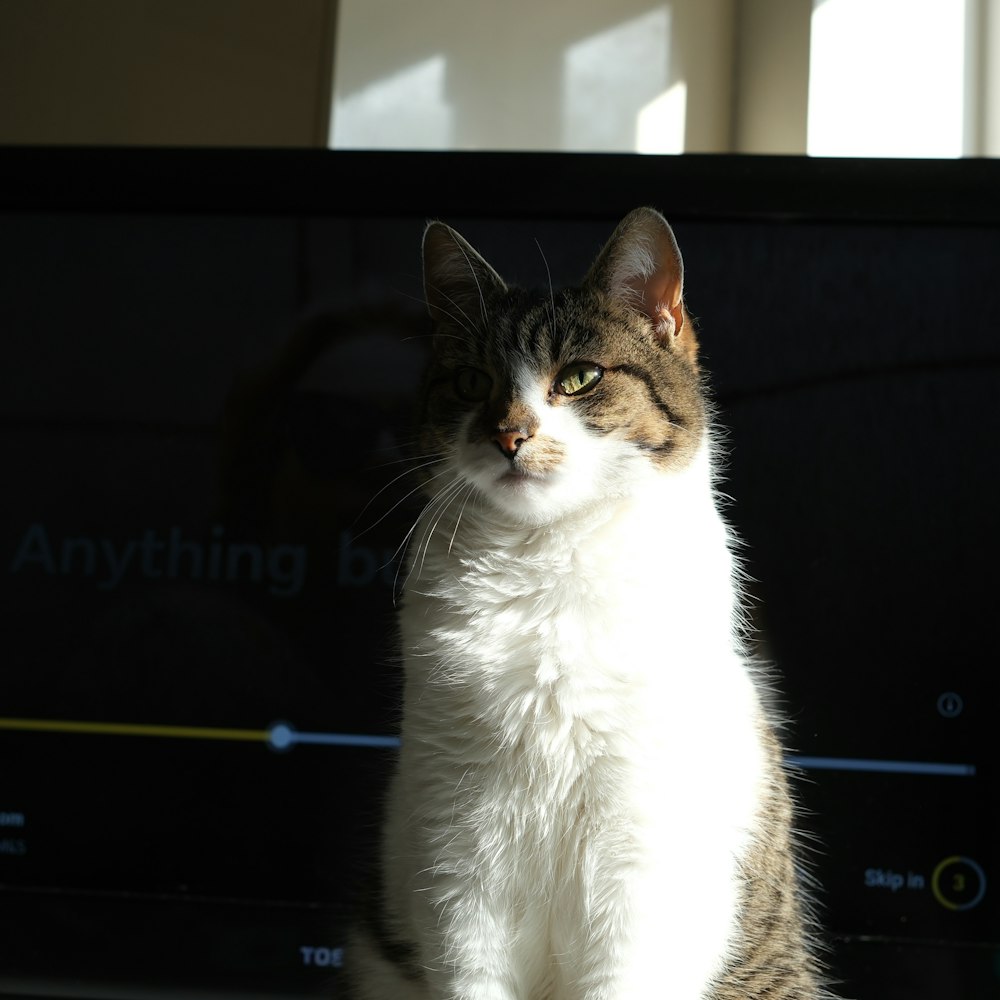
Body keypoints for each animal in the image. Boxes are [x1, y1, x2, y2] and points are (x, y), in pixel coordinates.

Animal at [348, 207, 832, 996]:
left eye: (578, 378)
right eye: (470, 381)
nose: (509, 434)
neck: (545, 564)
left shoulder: (640, 866)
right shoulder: (457, 868)